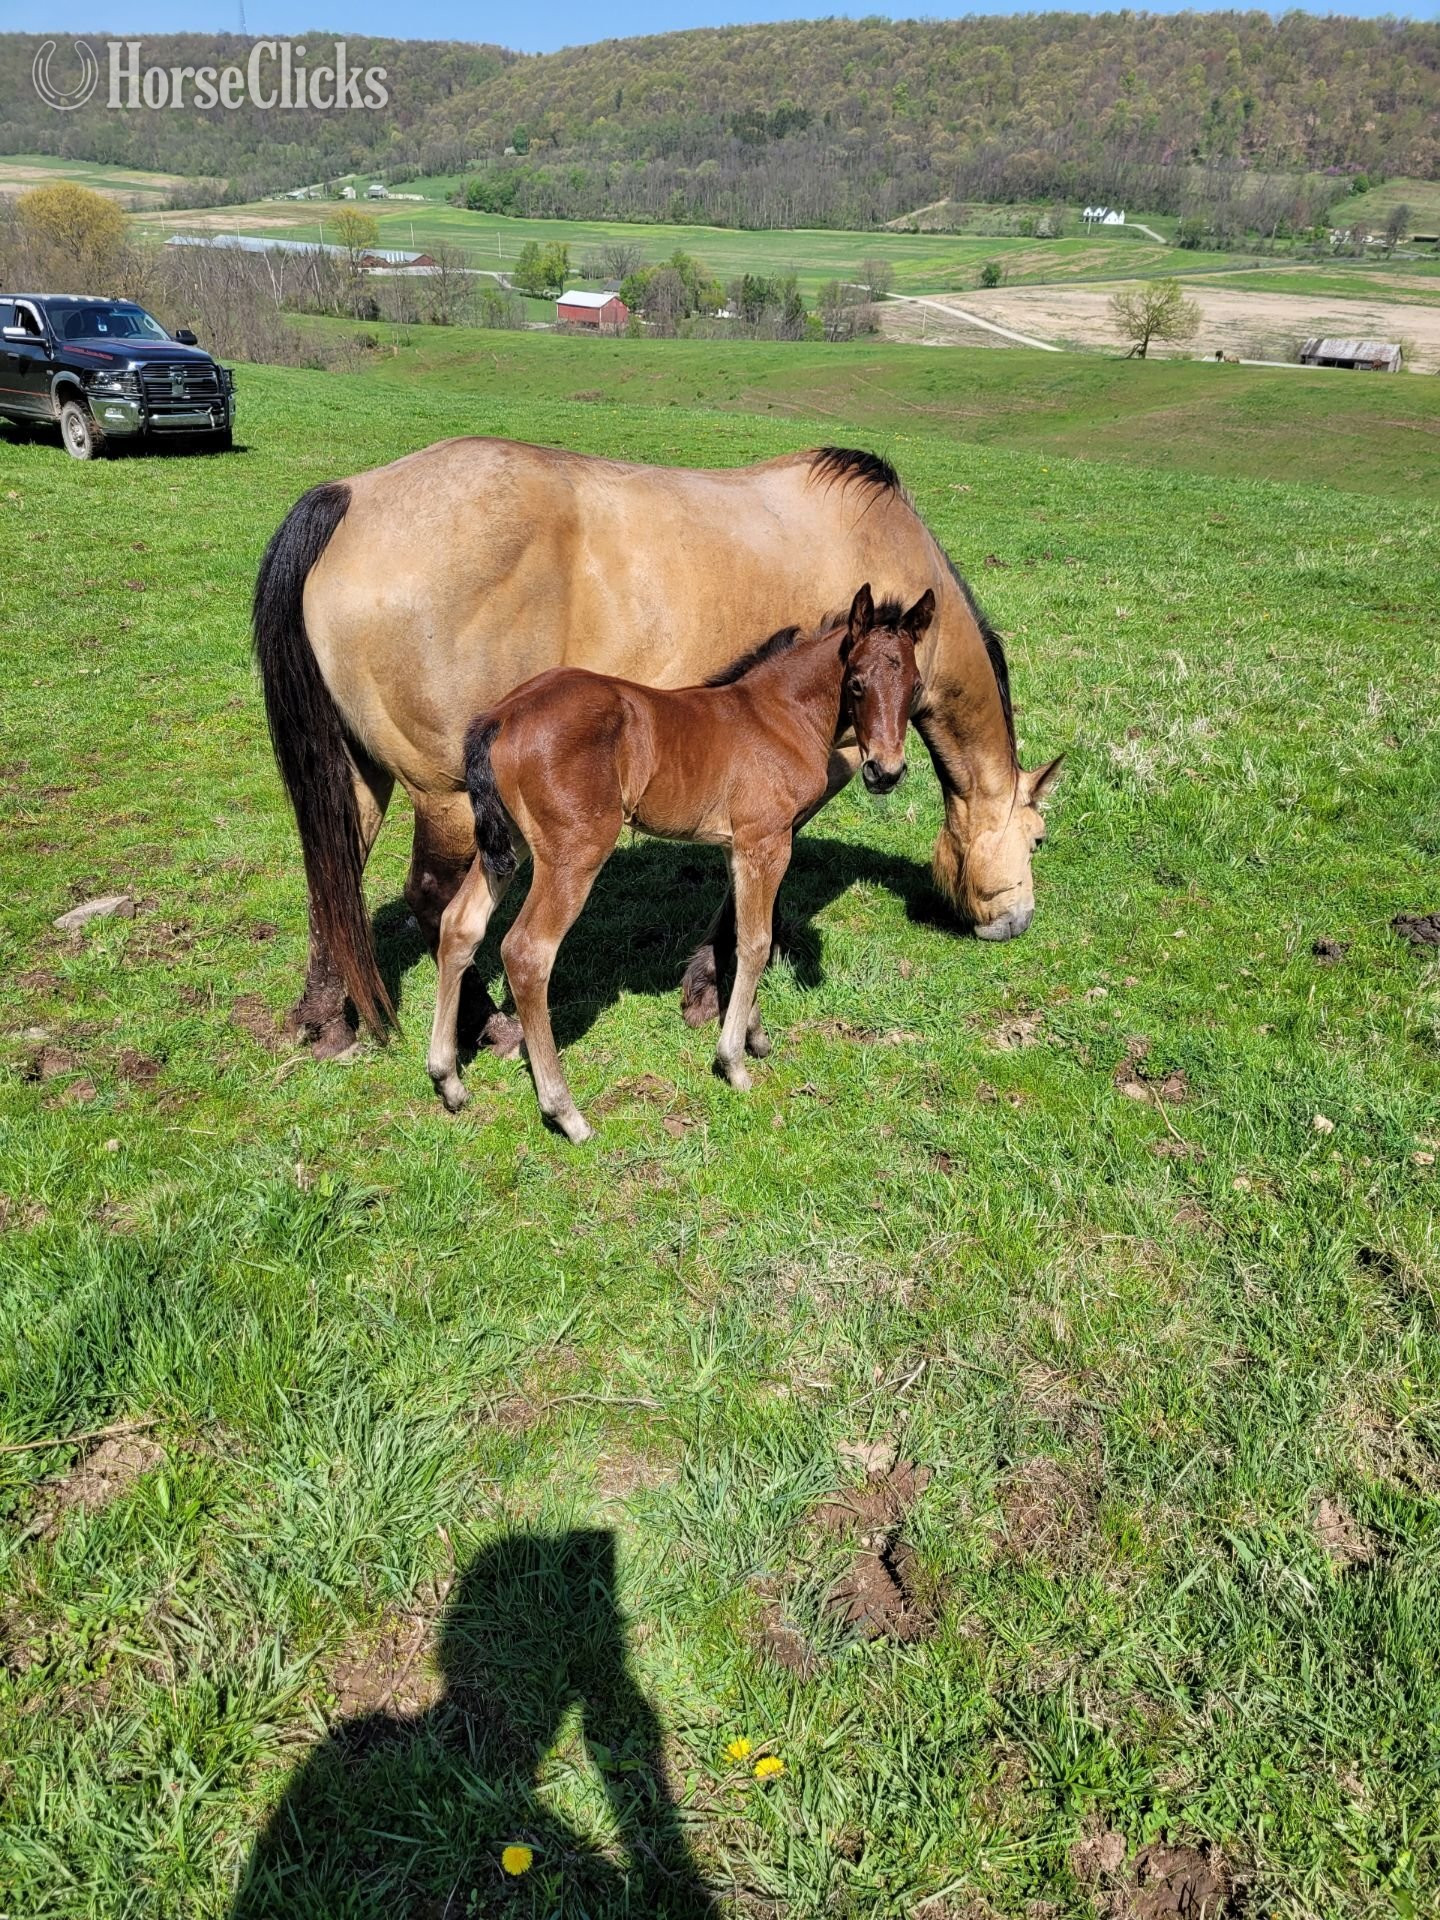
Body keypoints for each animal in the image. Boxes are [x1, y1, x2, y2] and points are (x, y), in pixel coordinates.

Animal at [253, 440, 1061, 1059]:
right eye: (1039, 838)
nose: (1018, 923)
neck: (880, 547)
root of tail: (351, 497)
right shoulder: (804, 784)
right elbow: (750, 892)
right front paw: (711, 988)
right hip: (448, 796)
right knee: (433, 900)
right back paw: (488, 1027)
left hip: (361, 774)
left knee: (334, 874)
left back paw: (325, 1019)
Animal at [426, 586, 927, 1143]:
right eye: (856, 683)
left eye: (915, 685)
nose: (885, 771)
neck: (780, 715)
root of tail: (503, 715)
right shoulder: (767, 842)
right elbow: (756, 942)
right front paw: (734, 1062)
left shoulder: (739, 847)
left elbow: (737, 934)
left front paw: (753, 1035)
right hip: (574, 853)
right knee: (528, 952)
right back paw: (566, 1112)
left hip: (507, 844)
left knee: (459, 925)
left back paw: (447, 1080)